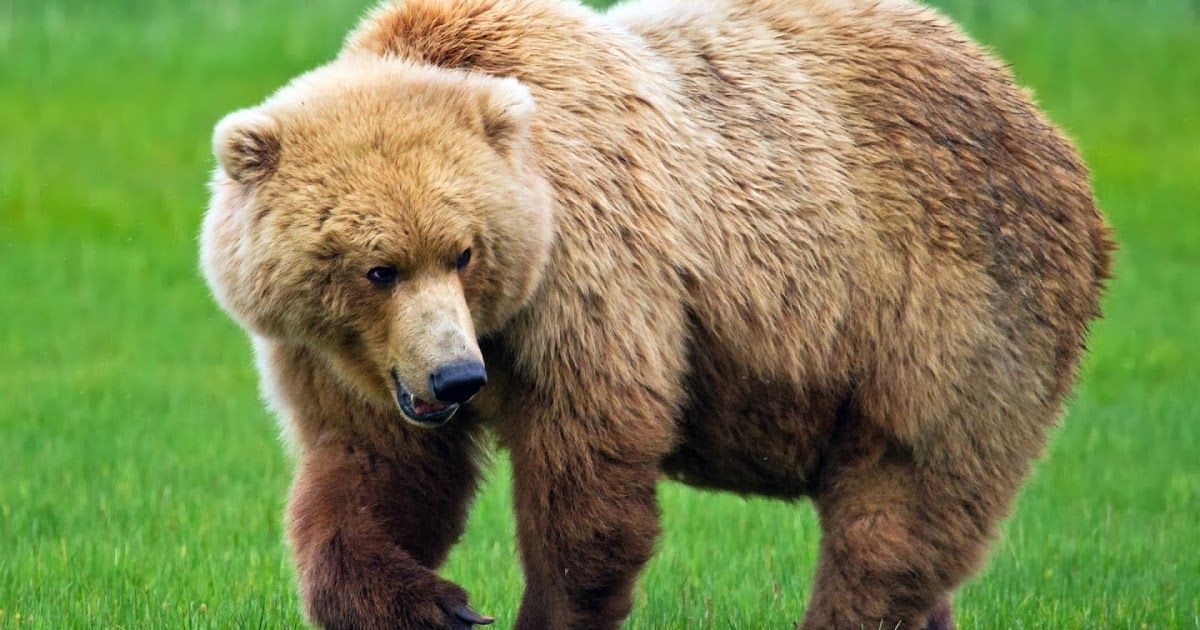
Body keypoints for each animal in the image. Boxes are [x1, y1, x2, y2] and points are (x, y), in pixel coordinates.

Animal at [199, 0, 1114, 628]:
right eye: (377, 268)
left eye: (464, 251)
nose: (458, 379)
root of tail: (1040, 119)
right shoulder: (343, 358)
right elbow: (374, 473)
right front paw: (435, 601)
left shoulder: (594, 273)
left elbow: (589, 475)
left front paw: (543, 609)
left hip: (949, 306)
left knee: (900, 503)